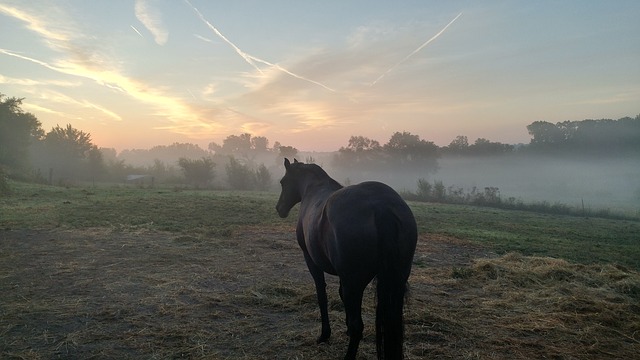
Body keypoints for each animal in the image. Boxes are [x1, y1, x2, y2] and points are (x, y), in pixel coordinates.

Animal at [276, 159, 420, 358]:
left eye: (283, 182)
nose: (279, 208)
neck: (313, 189)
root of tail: (380, 206)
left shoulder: (313, 263)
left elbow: (322, 295)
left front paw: (324, 334)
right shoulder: (344, 277)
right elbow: (341, 295)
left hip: (355, 282)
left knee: (357, 325)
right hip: (396, 281)